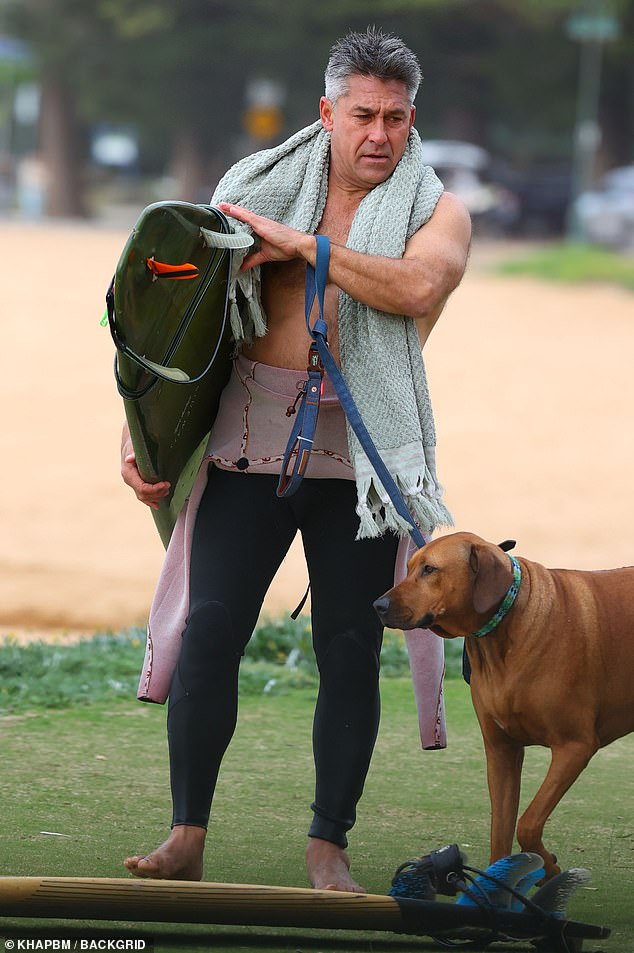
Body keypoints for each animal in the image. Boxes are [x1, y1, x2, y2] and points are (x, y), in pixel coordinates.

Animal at [372, 528, 632, 876]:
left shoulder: (575, 745)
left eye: (430, 569)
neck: (501, 629)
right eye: (410, 567)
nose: (377, 604)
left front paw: (550, 870)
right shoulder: (501, 749)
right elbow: (501, 828)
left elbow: (528, 824)